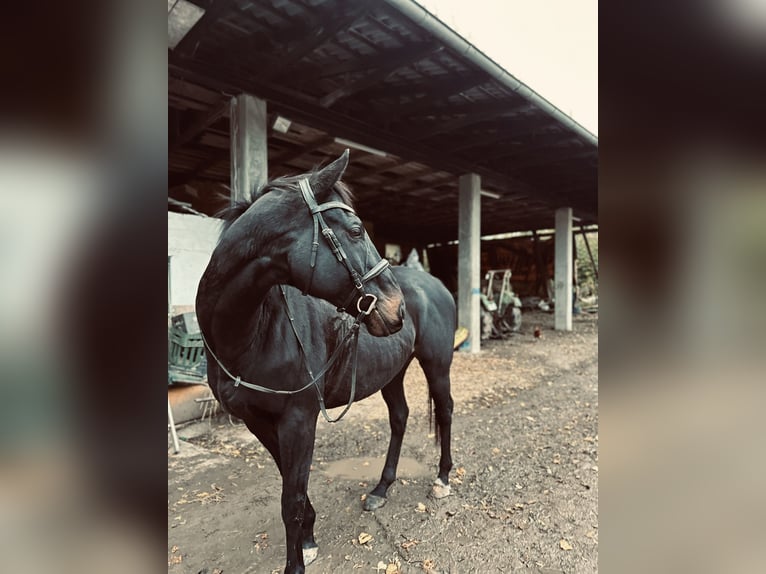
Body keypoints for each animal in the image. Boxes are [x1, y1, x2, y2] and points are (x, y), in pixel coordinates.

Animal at [195, 151, 455, 574]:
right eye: (355, 230)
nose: (396, 309)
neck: (252, 334)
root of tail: (435, 285)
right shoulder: (258, 422)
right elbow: (292, 485)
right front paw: (309, 538)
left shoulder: (299, 419)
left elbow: (292, 499)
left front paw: (298, 561)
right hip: (393, 372)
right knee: (399, 418)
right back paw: (381, 488)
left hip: (437, 364)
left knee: (445, 411)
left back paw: (443, 480)